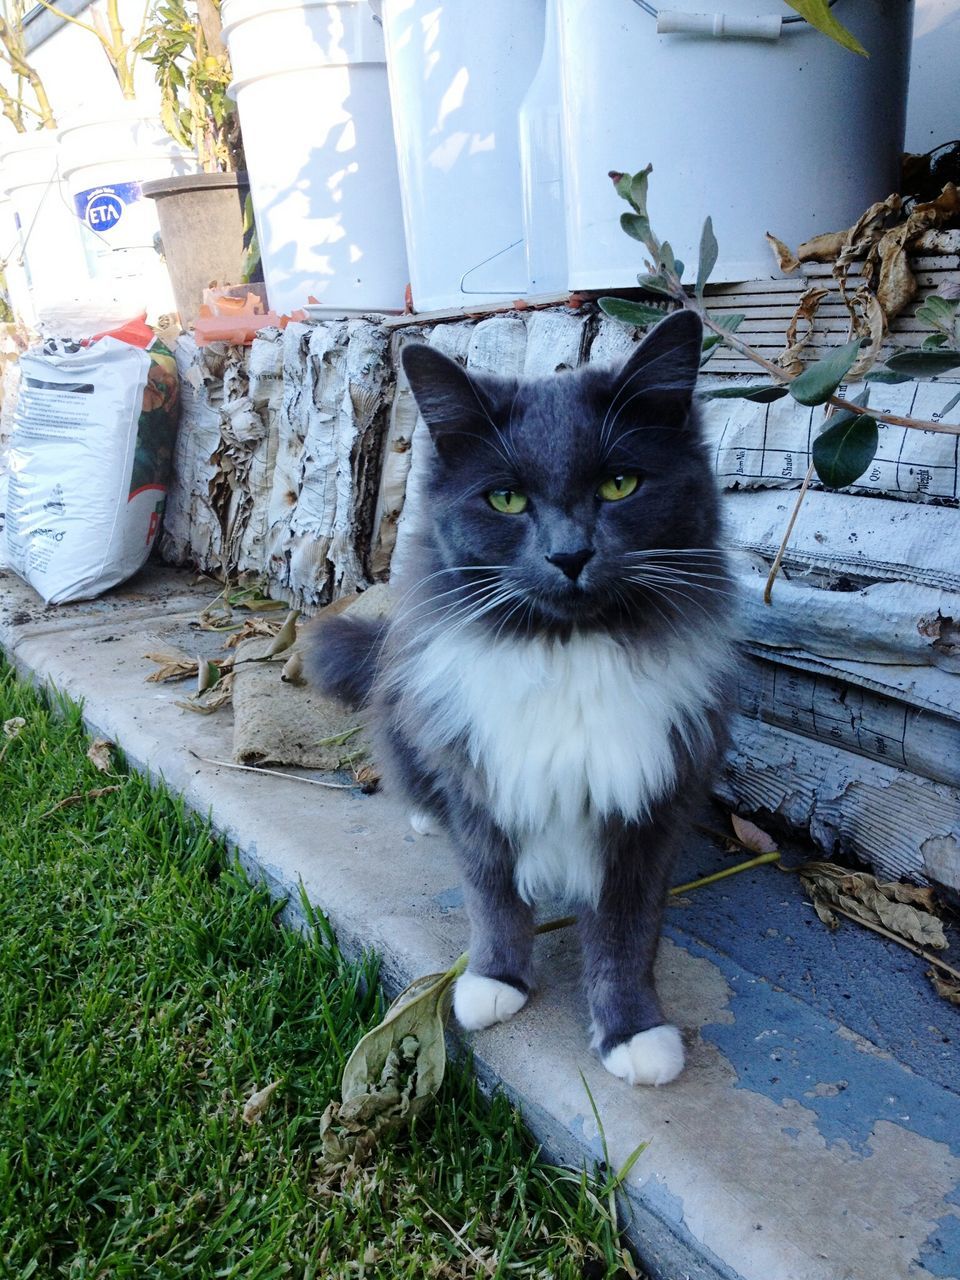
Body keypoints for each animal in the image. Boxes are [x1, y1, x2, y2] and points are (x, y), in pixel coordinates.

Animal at [312, 307, 732, 1080]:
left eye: (620, 485)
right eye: (505, 499)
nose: (569, 555)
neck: (566, 652)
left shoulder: (647, 811)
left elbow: (627, 937)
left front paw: (635, 1033)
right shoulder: (484, 789)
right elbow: (494, 900)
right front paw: (493, 982)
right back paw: (426, 817)